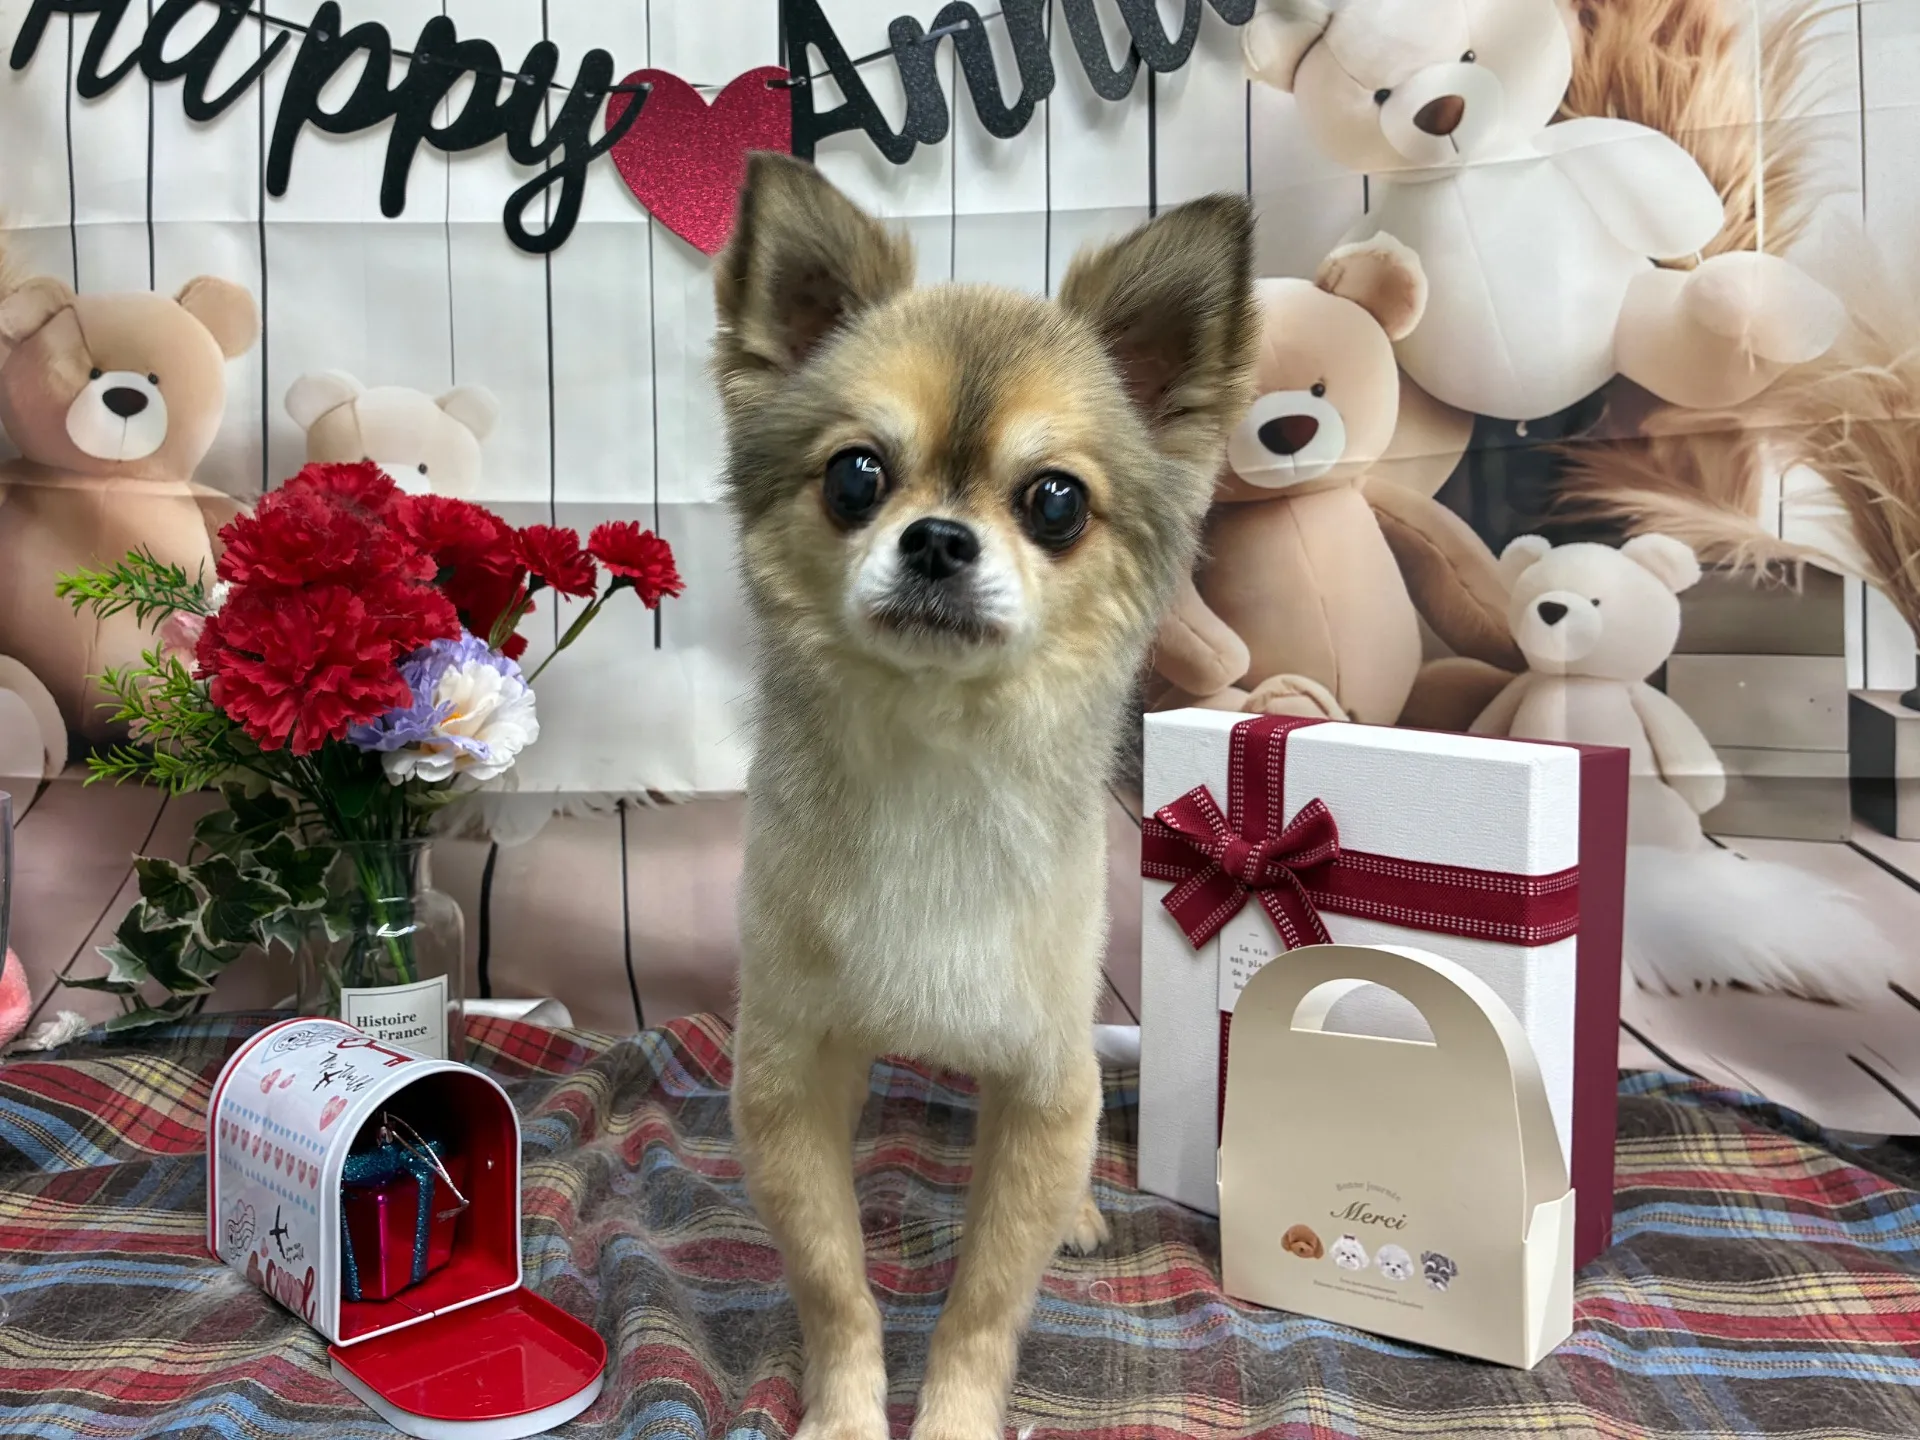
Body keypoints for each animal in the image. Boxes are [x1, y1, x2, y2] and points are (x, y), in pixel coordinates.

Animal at [714, 152, 1256, 1440]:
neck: (936, 757)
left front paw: (953, 1413)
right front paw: (847, 1414)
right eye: (856, 475)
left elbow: (983, 1305)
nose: (938, 540)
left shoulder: (1044, 1084)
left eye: (1054, 501)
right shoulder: (788, 1080)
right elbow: (836, 1284)